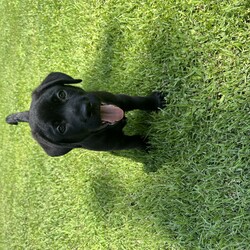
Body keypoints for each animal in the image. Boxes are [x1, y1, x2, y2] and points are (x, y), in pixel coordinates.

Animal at [5, 71, 165, 156]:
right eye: (61, 128)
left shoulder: (116, 100)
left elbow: (136, 101)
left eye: (61, 94)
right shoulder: (115, 143)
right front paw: (146, 144)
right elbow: (131, 142)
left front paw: (156, 102)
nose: (86, 108)